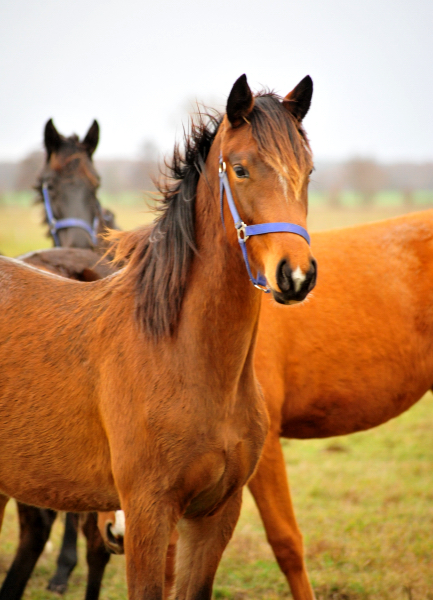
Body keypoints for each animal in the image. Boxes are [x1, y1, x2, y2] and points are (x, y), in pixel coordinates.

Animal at [0, 75, 314, 600]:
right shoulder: (148, 513)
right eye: (242, 170)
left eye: (308, 171)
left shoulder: (214, 515)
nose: (297, 276)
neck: (181, 356)